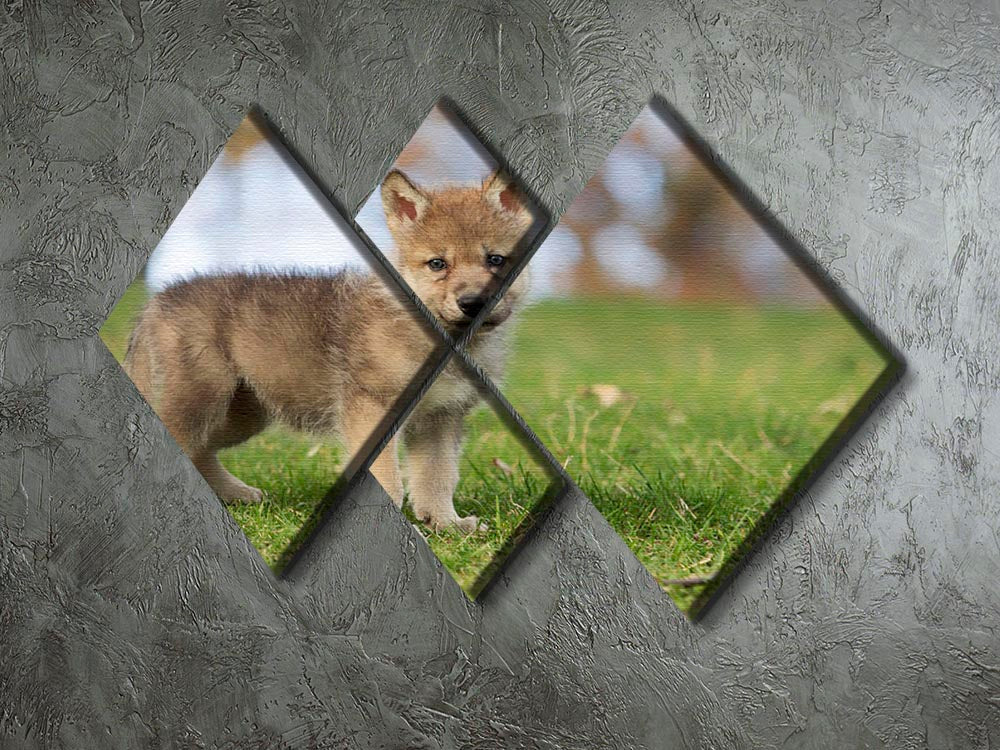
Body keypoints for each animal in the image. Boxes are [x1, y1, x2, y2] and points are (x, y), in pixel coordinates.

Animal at [124, 169, 532, 533]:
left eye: (495, 259)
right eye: (437, 264)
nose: (473, 302)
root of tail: (156, 302)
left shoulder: (441, 418)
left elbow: (438, 477)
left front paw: (448, 526)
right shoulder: (371, 408)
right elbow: (390, 478)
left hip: (243, 413)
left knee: (199, 451)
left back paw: (234, 493)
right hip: (202, 399)